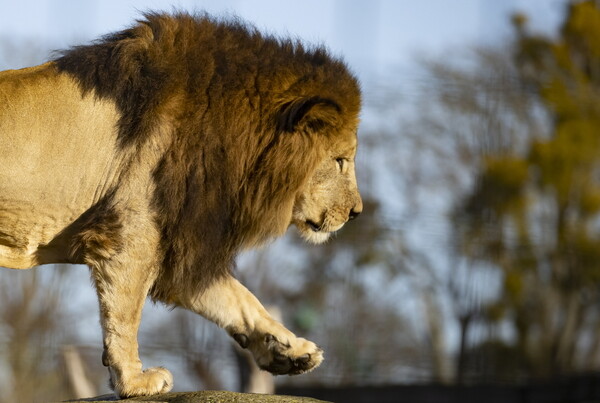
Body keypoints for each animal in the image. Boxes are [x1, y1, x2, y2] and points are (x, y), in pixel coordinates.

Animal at [0, 11, 360, 398]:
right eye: (340, 160)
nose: (357, 212)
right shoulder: (133, 234)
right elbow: (125, 315)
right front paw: (133, 381)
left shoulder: (180, 242)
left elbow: (239, 299)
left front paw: (290, 350)